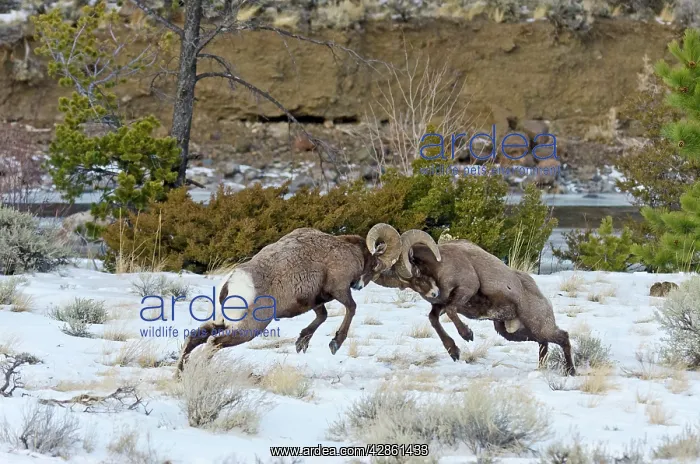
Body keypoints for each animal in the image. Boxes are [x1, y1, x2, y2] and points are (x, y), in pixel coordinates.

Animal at [175, 223, 404, 373]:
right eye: (375, 265)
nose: (358, 285)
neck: (347, 251)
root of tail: (232, 282)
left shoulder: (315, 301)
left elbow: (322, 316)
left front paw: (302, 342)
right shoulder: (339, 289)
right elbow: (351, 308)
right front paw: (335, 343)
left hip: (220, 322)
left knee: (194, 338)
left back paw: (180, 374)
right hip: (248, 329)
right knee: (213, 343)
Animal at [373, 229, 576, 376]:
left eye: (416, 271)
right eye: (407, 283)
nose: (432, 293)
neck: (441, 265)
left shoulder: (465, 290)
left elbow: (451, 311)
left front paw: (467, 335)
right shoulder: (439, 305)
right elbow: (434, 319)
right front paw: (454, 352)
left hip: (537, 327)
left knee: (562, 337)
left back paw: (570, 372)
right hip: (512, 333)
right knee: (544, 343)